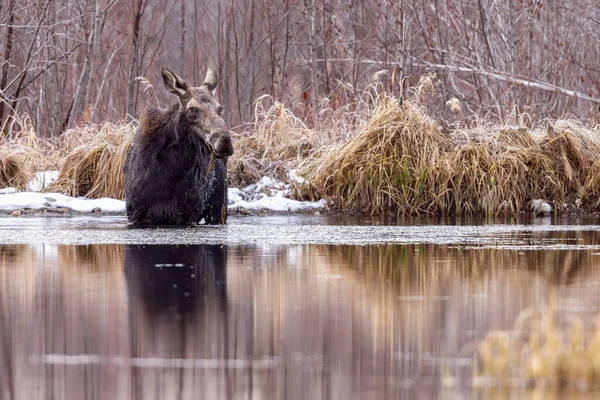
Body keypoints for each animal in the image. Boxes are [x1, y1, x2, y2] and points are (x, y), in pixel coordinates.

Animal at [124, 65, 232, 225]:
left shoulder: (188, 213)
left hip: (219, 208)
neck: (170, 171)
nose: (224, 142)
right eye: (192, 109)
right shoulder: (137, 213)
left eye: (220, 109)